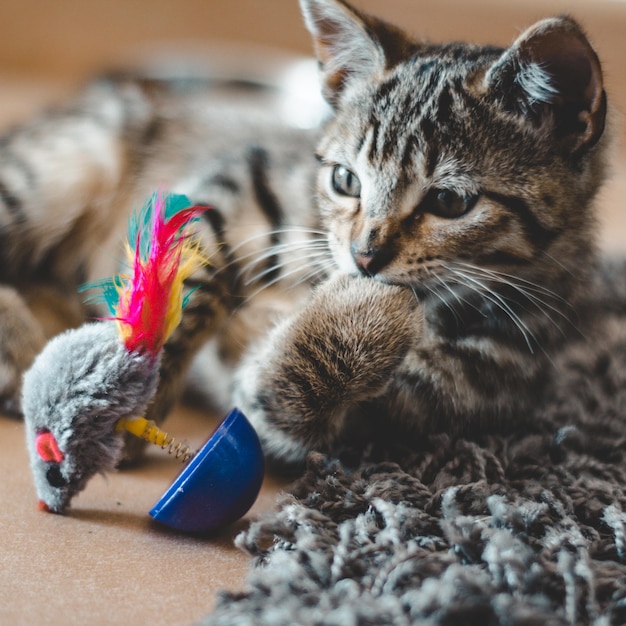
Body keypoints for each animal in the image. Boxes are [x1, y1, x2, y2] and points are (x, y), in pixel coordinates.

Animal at [0, 0, 608, 464]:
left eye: (451, 201)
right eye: (345, 180)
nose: (365, 257)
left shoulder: (406, 407)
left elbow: (290, 396)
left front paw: (363, 316)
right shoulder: (230, 183)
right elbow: (174, 295)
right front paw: (133, 404)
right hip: (65, 166)